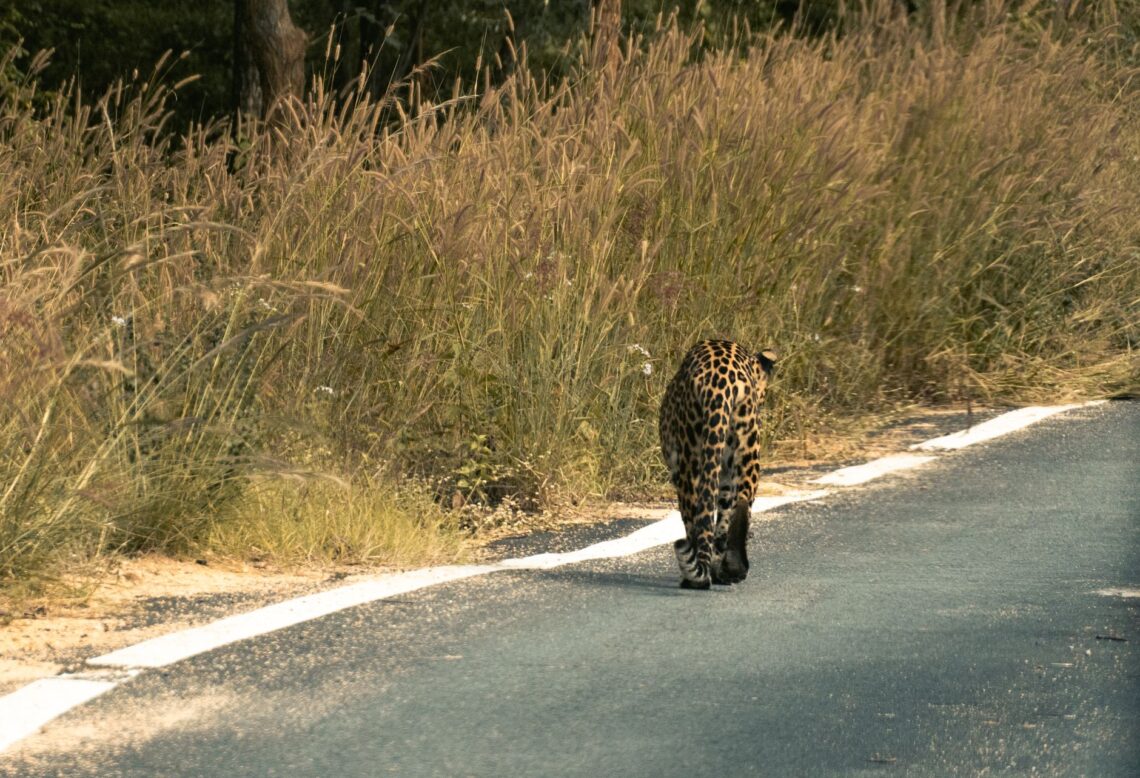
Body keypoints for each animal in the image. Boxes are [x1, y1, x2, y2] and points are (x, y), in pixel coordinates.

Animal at [659, 339, 777, 589]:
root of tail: (721, 384)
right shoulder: (725, 477)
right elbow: (723, 519)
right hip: (747, 452)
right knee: (742, 503)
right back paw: (733, 568)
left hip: (690, 462)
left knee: (696, 515)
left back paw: (696, 578)